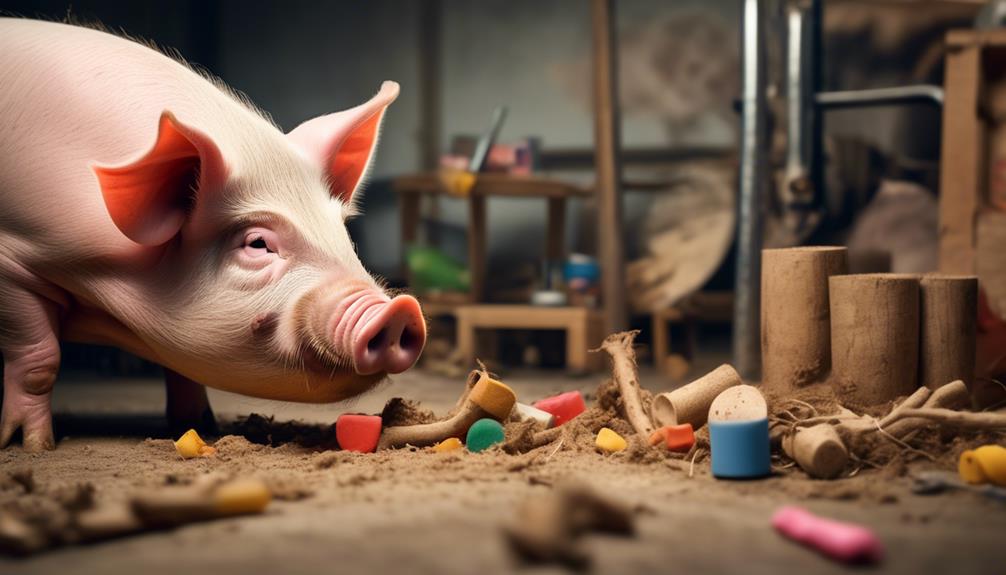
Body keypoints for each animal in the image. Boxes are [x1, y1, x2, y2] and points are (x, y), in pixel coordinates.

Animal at [0, 17, 426, 452]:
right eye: (257, 243)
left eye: (343, 231)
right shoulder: (15, 261)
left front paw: (200, 425)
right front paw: (31, 445)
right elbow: (40, 362)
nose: (400, 309)